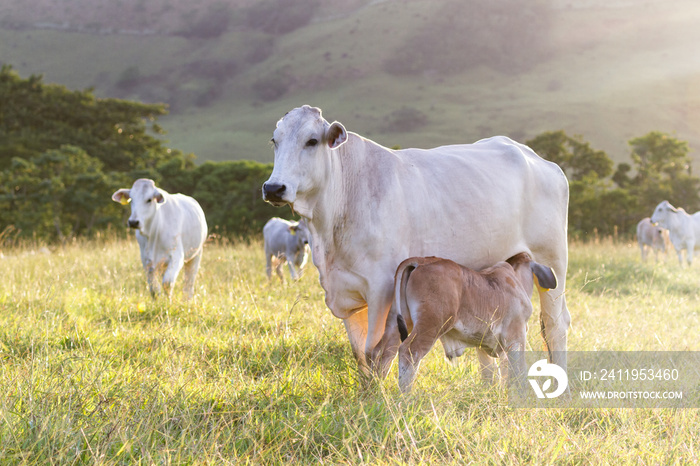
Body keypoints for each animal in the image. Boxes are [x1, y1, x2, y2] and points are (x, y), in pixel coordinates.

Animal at [262, 104, 568, 378]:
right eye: (275, 140)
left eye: (312, 141)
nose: (273, 187)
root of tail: (536, 158)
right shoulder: (347, 294)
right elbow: (360, 355)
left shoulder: (382, 289)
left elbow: (376, 353)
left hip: (552, 263)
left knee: (555, 326)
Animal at [394, 253, 556, 392]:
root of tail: (422, 261)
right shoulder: (516, 338)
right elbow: (519, 371)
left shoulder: (485, 344)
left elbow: (492, 373)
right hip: (430, 325)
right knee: (409, 352)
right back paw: (406, 395)